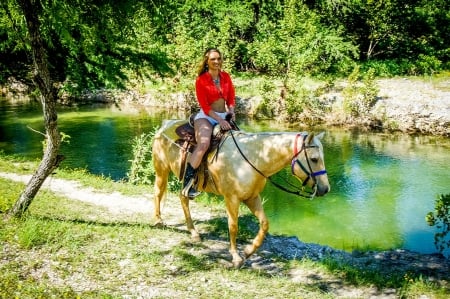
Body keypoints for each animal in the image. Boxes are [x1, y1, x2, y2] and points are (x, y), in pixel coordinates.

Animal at [152, 120, 330, 270]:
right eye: (314, 159)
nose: (325, 189)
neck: (253, 158)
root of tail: (165, 124)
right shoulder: (231, 199)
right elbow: (233, 226)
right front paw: (236, 257)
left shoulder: (252, 197)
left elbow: (264, 224)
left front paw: (248, 251)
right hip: (162, 170)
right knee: (158, 193)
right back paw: (159, 221)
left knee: (183, 198)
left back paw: (193, 232)